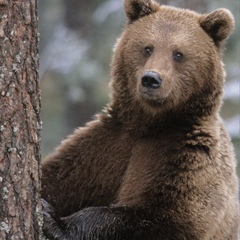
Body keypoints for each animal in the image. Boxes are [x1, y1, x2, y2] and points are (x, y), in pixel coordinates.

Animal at [41, 0, 238, 240]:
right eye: (147, 48)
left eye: (178, 54)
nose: (151, 79)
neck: (150, 123)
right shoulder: (107, 145)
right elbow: (60, 176)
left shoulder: (186, 156)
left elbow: (163, 218)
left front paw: (55, 221)